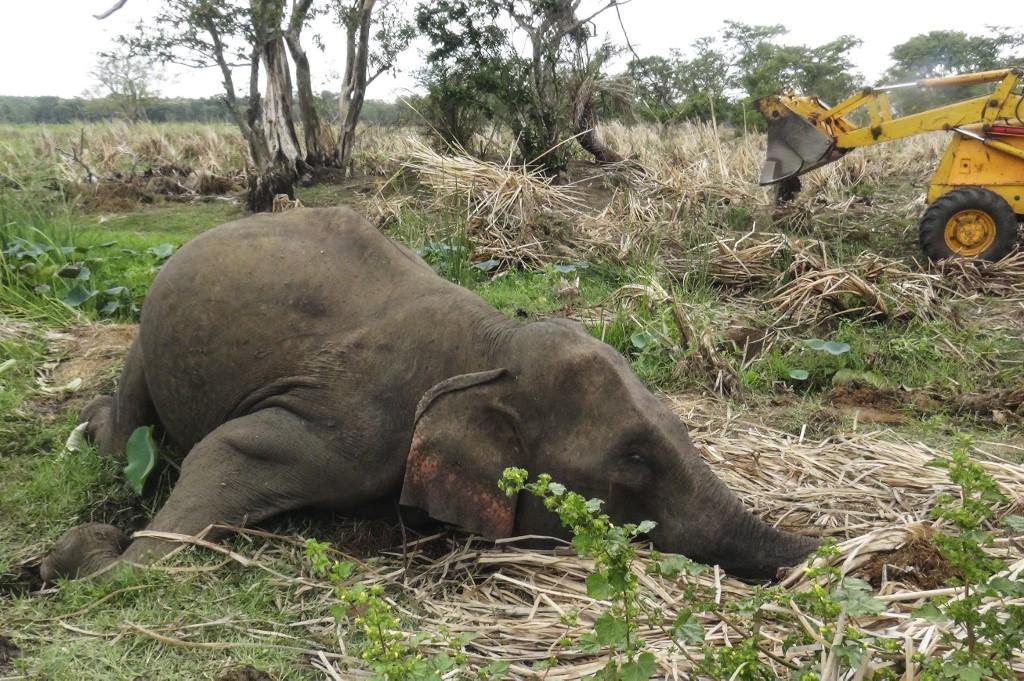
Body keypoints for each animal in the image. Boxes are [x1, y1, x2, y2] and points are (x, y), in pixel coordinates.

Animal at [41, 207, 818, 582]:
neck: (494, 346)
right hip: (148, 333)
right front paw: (87, 559)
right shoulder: (359, 425)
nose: (826, 551)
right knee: (132, 425)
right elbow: (227, 450)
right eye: (633, 464)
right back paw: (92, 432)